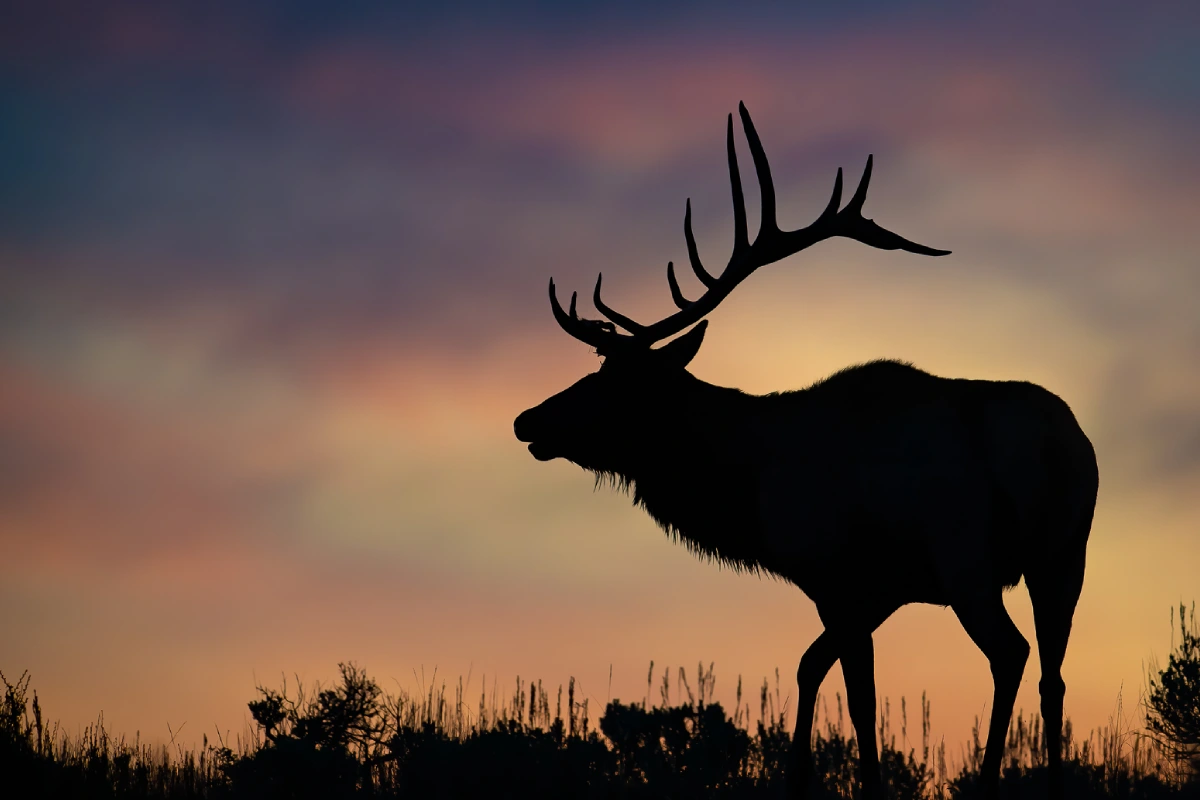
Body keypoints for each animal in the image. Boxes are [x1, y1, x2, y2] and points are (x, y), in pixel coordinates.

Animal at [513, 103, 1099, 796]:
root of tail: (1058, 447)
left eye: (620, 384)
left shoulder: (835, 573)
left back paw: (985, 784)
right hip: (1063, 556)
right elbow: (808, 667)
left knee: (1010, 654)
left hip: (967, 558)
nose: (527, 420)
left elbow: (860, 697)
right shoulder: (880, 590)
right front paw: (796, 778)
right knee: (1054, 675)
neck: (750, 490)